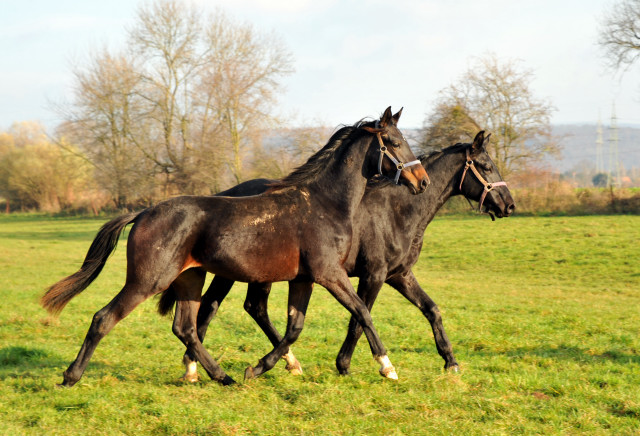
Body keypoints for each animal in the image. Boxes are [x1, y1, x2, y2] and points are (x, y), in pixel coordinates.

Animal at [42, 107, 428, 386]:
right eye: (393, 142)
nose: (422, 181)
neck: (323, 204)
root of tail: (144, 212)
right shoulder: (329, 274)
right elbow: (362, 312)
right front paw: (387, 367)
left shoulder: (303, 279)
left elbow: (295, 328)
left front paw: (259, 368)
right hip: (147, 280)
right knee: (104, 318)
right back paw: (70, 377)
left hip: (189, 278)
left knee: (186, 328)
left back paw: (221, 376)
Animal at [160, 127, 516, 380]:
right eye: (486, 166)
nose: (509, 205)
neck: (397, 211)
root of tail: (227, 193)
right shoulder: (373, 275)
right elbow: (359, 318)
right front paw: (349, 364)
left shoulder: (400, 275)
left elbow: (432, 310)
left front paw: (450, 362)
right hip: (240, 272)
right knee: (219, 307)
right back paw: (203, 366)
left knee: (244, 308)